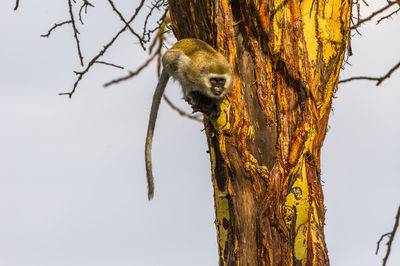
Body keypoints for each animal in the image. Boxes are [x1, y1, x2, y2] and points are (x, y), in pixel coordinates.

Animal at [145, 38, 233, 200]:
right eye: (214, 81)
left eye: (221, 81)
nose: (218, 89)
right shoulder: (192, 72)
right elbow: (184, 72)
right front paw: (193, 95)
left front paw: (216, 105)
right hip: (168, 60)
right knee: (178, 61)